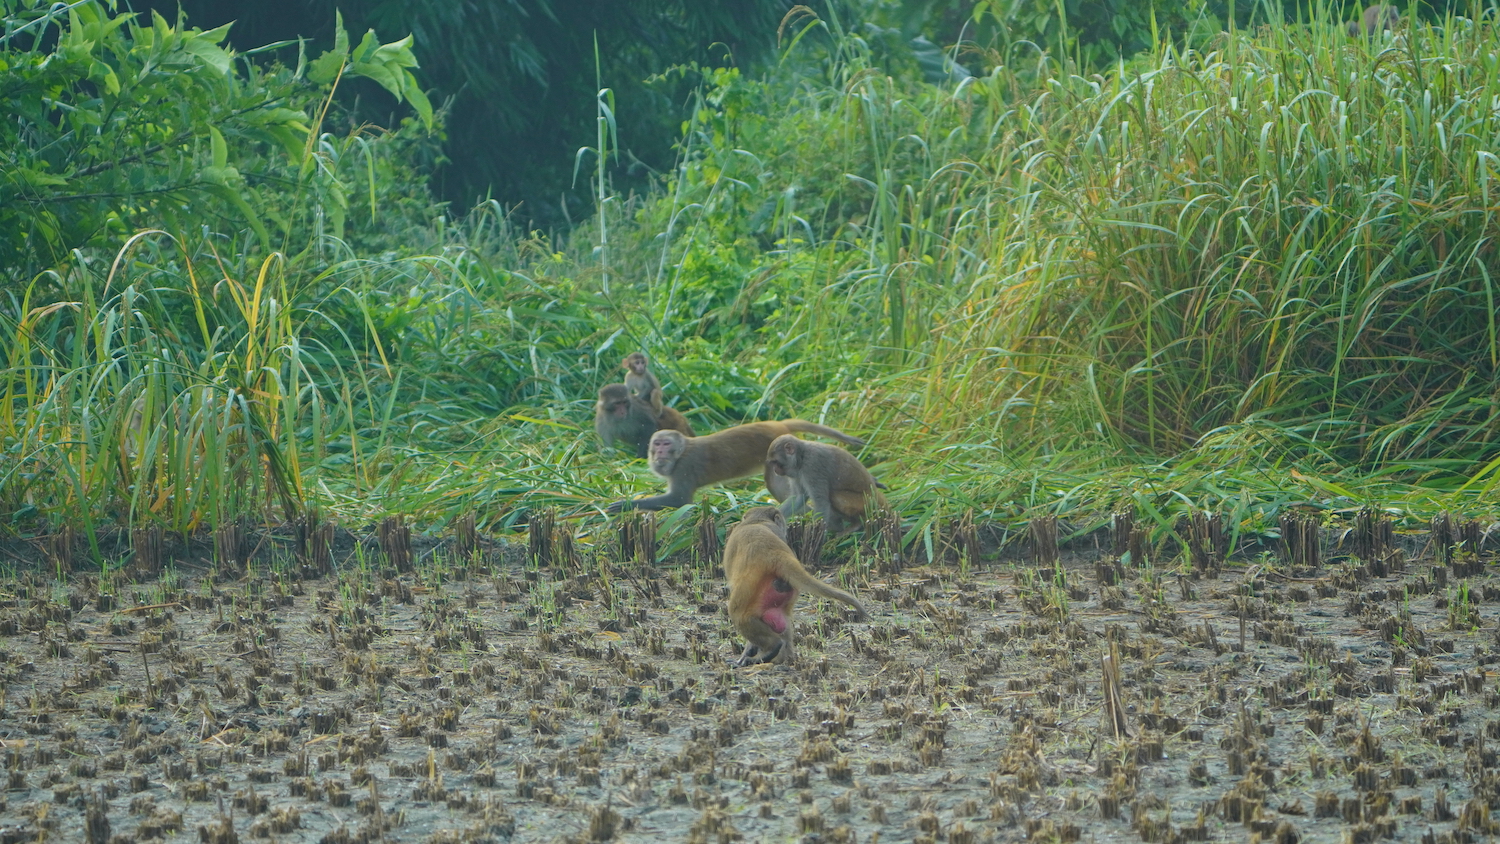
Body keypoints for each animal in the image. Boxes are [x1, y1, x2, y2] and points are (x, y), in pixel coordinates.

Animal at [607, 420, 866, 512]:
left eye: (665, 444)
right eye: (657, 443)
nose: (659, 452)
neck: (680, 453)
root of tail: (777, 424)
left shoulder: (684, 469)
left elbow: (679, 501)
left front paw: (627, 504)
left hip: (777, 458)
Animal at [723, 506, 868, 666]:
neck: (757, 520)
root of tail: (775, 554)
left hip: (750, 585)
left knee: (739, 614)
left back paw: (771, 648)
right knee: (781, 617)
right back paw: (783, 658)